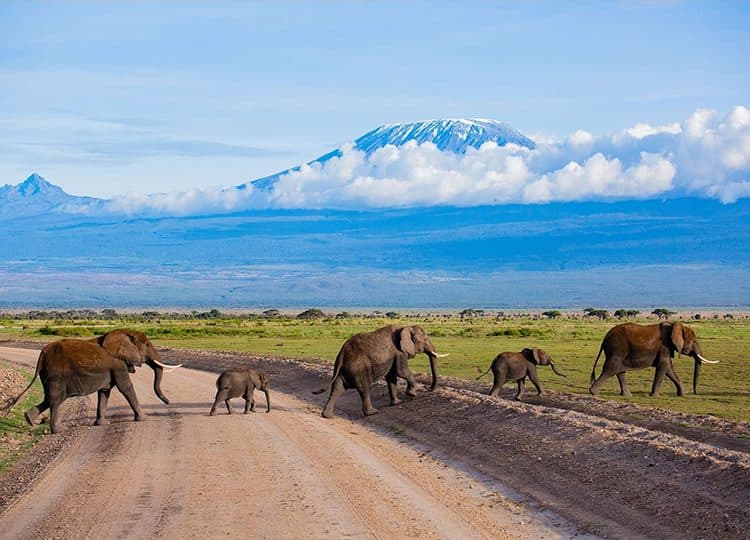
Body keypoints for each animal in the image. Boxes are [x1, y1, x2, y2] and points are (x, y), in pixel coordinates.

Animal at [0, 329, 182, 433]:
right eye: (147, 345)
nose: (168, 402)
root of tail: (42, 353)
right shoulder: (118, 364)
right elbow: (126, 387)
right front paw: (144, 419)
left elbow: (105, 392)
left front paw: (101, 424)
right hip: (56, 375)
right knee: (56, 399)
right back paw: (59, 430)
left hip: (47, 375)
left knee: (48, 398)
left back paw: (29, 420)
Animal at [313, 325, 448, 418]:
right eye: (425, 340)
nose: (428, 388)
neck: (404, 326)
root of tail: (342, 353)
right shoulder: (399, 352)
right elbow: (401, 372)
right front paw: (412, 394)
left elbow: (392, 377)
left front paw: (397, 403)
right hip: (358, 368)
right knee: (364, 388)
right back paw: (372, 412)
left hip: (344, 368)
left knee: (337, 387)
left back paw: (327, 416)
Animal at [589, 322, 718, 397]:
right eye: (694, 341)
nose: (695, 393)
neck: (674, 325)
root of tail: (605, 338)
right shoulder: (664, 346)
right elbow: (664, 366)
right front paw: (655, 396)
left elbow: (669, 369)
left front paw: (682, 394)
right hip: (618, 348)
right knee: (611, 368)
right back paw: (593, 392)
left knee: (619, 371)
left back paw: (627, 395)